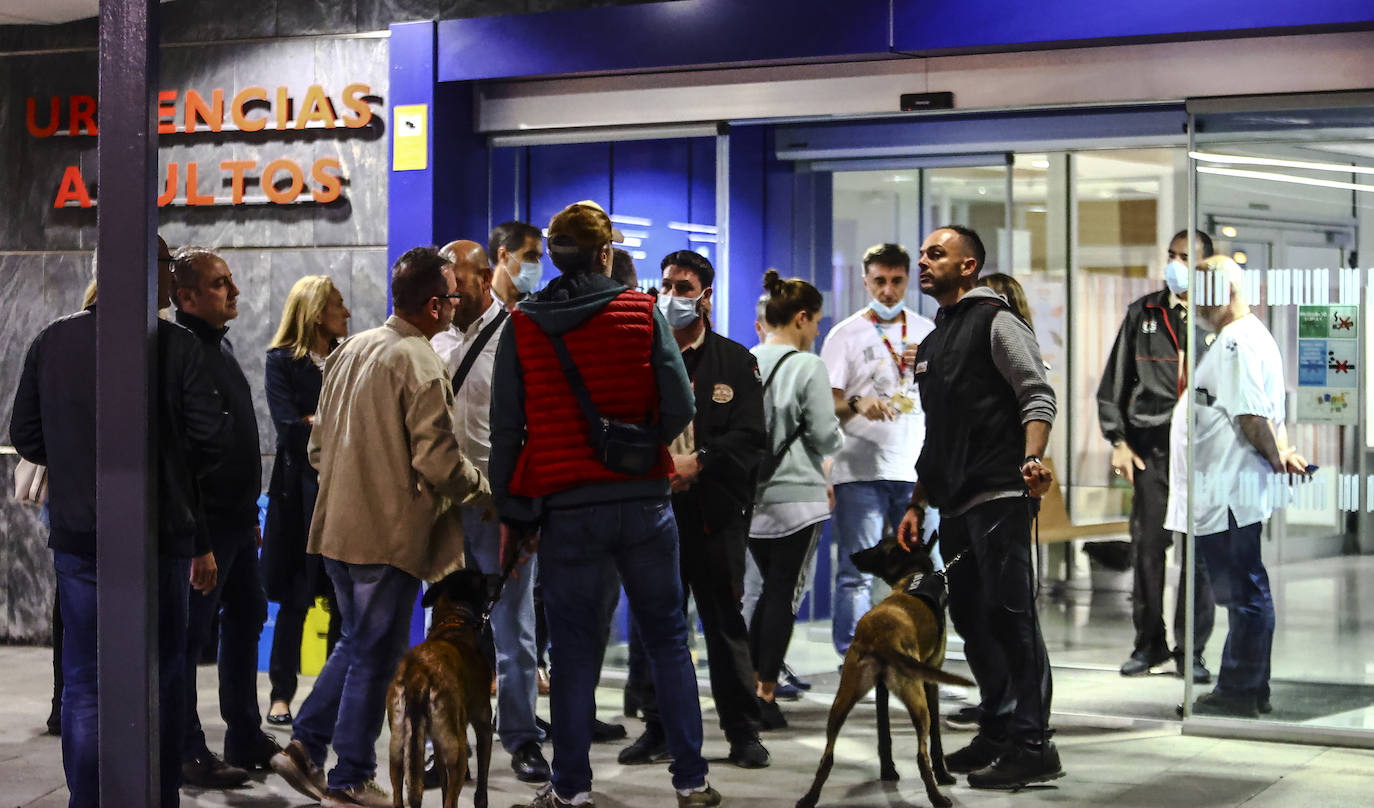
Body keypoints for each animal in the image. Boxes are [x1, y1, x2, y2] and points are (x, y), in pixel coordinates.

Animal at [384, 568, 497, 808]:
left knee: (399, 794)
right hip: (457, 749)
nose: (498, 577)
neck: (453, 622)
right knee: (452, 799)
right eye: (481, 578)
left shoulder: (436, 742)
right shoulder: (483, 725)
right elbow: (482, 781)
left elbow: (444, 784)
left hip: (398, 748)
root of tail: (418, 674)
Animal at [796, 535, 978, 808]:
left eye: (878, 547)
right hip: (918, 702)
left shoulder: (881, 688)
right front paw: (944, 775)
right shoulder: (931, 681)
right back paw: (938, 797)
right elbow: (936, 739)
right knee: (921, 755)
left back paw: (809, 798)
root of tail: (879, 637)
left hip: (842, 701)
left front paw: (888, 771)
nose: (853, 555)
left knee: (827, 757)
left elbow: (884, 734)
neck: (913, 576)